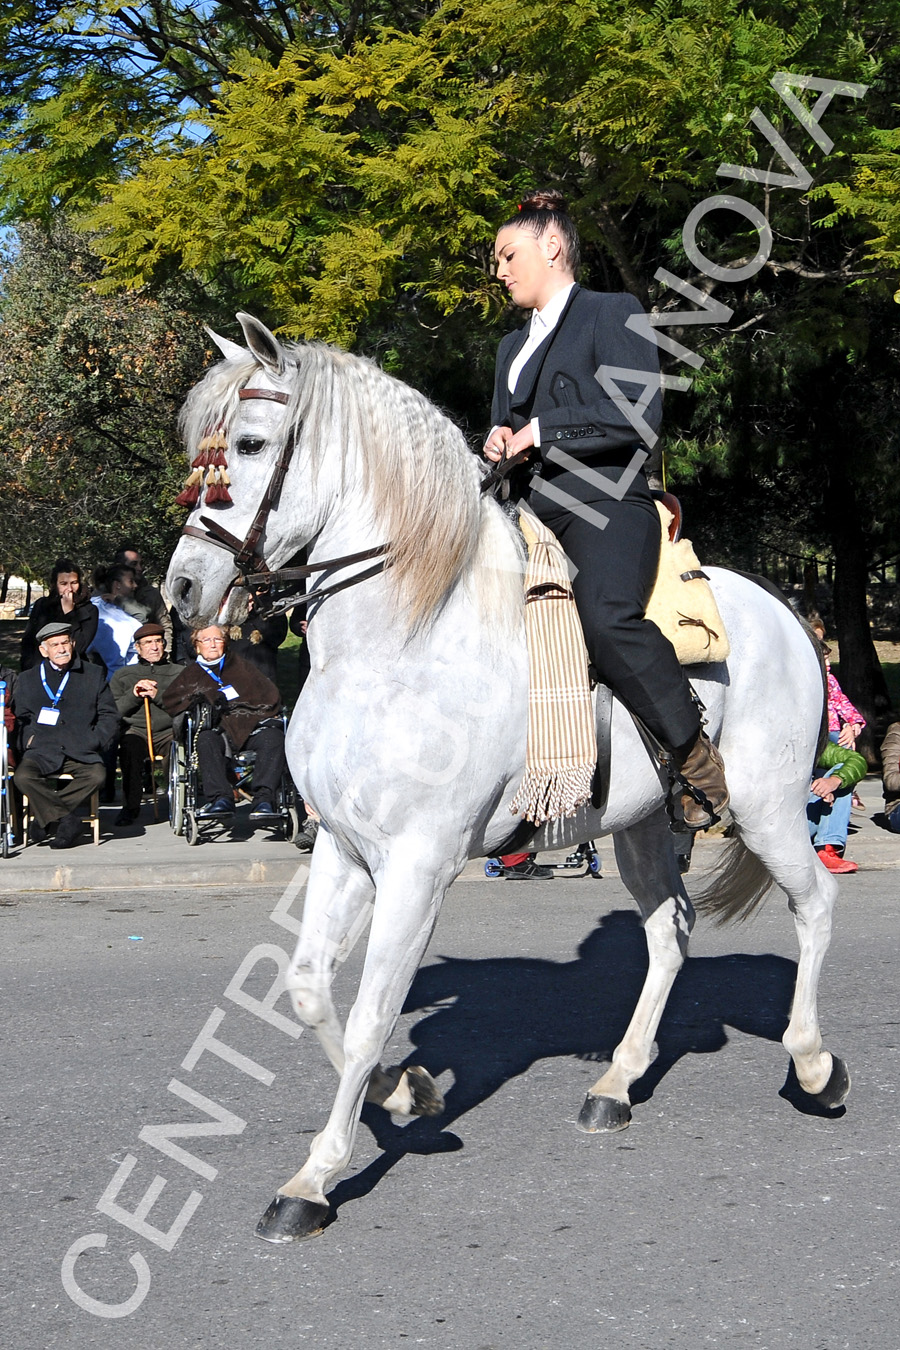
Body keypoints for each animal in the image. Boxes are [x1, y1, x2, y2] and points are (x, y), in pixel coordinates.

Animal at [165, 313, 847, 1242]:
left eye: (249, 443)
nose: (182, 589)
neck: (401, 642)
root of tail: (786, 611)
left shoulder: (418, 866)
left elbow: (372, 1011)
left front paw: (314, 1179)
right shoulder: (343, 848)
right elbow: (309, 990)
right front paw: (403, 1093)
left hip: (769, 808)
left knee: (813, 904)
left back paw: (815, 1066)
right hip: (639, 826)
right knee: (669, 931)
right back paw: (615, 1084)